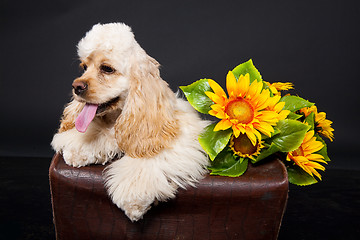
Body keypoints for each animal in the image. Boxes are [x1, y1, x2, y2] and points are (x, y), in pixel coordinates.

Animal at [50, 22, 208, 221]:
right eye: (84, 67)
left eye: (107, 68)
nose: (76, 87)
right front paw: (76, 151)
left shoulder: (175, 138)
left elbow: (147, 161)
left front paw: (134, 200)